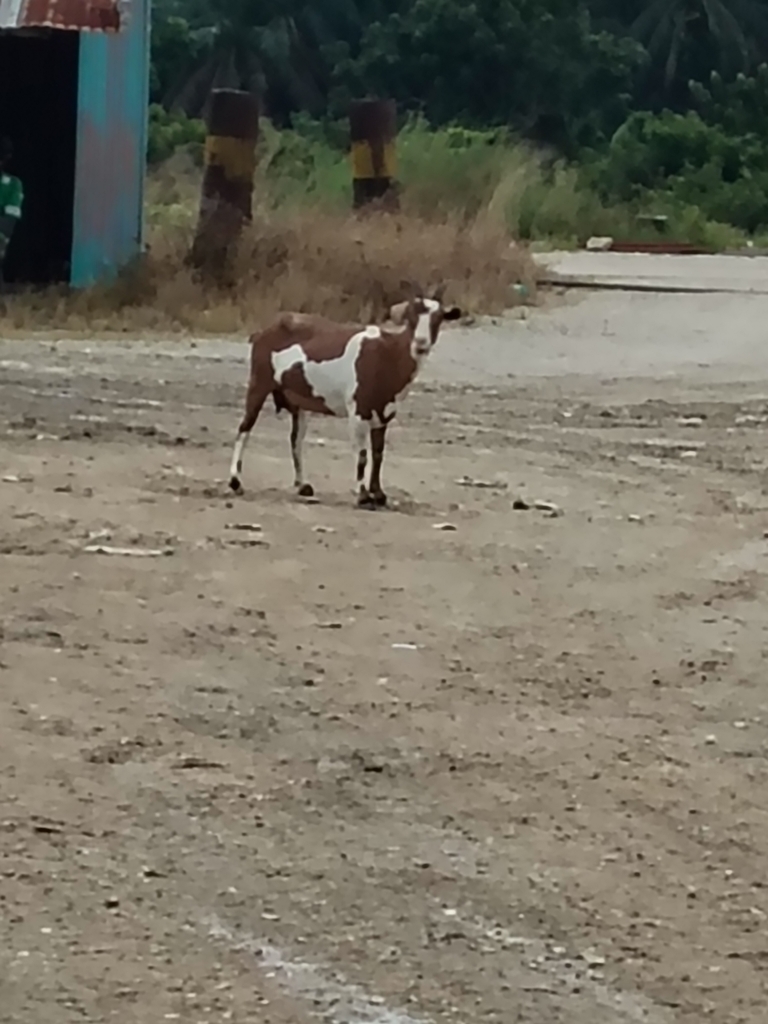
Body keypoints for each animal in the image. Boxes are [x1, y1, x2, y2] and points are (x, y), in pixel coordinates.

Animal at [228, 284, 462, 508]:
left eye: (438, 318)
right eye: (411, 317)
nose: (421, 343)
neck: (389, 354)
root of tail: (265, 331)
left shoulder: (384, 412)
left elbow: (378, 453)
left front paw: (379, 494)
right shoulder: (359, 409)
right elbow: (362, 455)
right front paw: (364, 496)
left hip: (298, 399)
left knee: (296, 438)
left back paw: (302, 485)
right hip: (259, 381)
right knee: (245, 428)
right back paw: (235, 482)